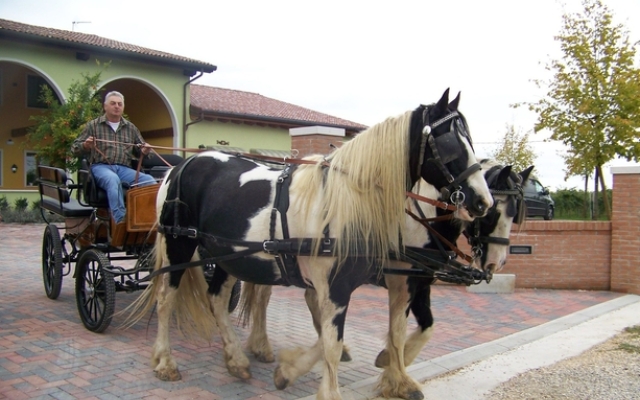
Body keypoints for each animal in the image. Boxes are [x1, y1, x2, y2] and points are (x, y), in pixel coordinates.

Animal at [126, 88, 496, 400]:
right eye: (450, 143)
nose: (482, 201)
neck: (350, 202)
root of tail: (181, 166)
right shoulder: (339, 286)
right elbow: (332, 341)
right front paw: (323, 386)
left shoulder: (388, 282)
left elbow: (377, 332)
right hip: (178, 245)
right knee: (166, 299)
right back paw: (165, 362)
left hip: (230, 255)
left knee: (216, 298)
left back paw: (236, 359)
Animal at [239, 159, 528, 400]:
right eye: (491, 212)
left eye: (514, 214)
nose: (496, 263)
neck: (419, 223)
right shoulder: (402, 282)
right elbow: (397, 328)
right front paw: (396, 374)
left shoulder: (420, 281)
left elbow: (428, 326)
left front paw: (389, 360)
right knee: (263, 298)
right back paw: (261, 346)